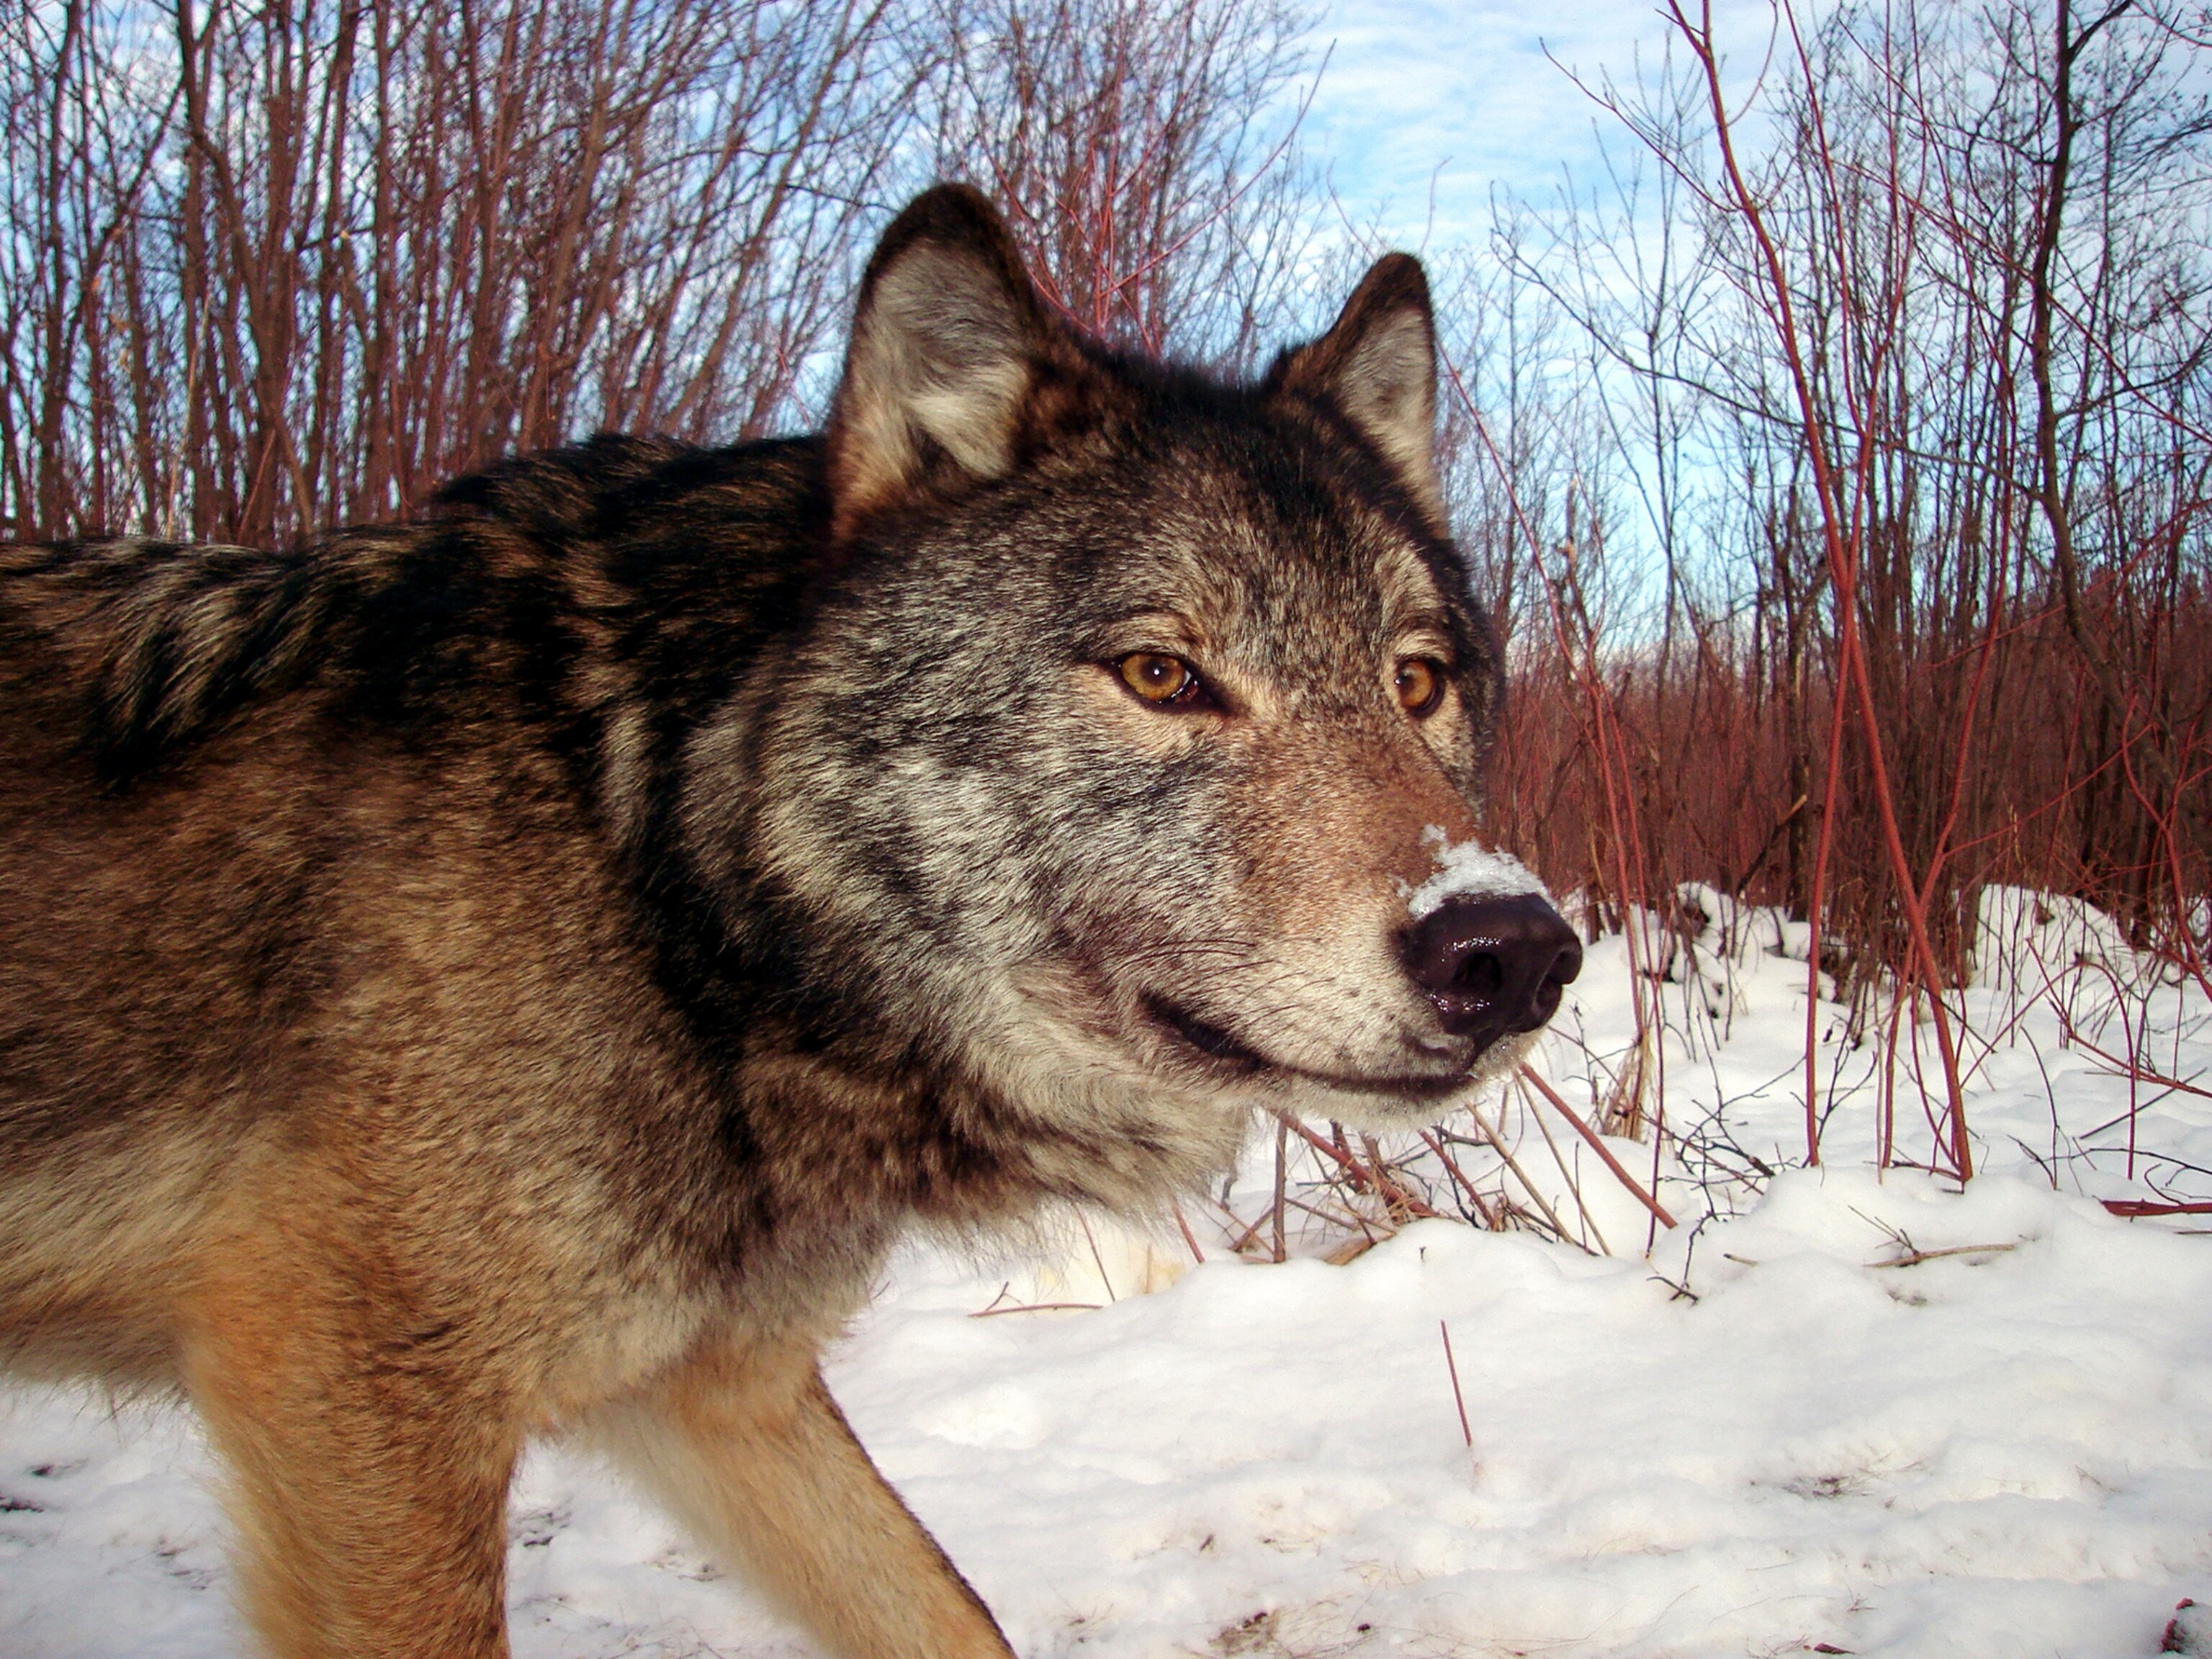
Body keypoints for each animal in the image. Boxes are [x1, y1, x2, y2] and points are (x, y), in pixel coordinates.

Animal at [0, 185, 1580, 1659]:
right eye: (1160, 674)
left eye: (1418, 681)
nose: (1509, 950)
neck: (663, 874)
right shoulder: (360, 1401)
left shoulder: (716, 1392)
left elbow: (950, 1614)